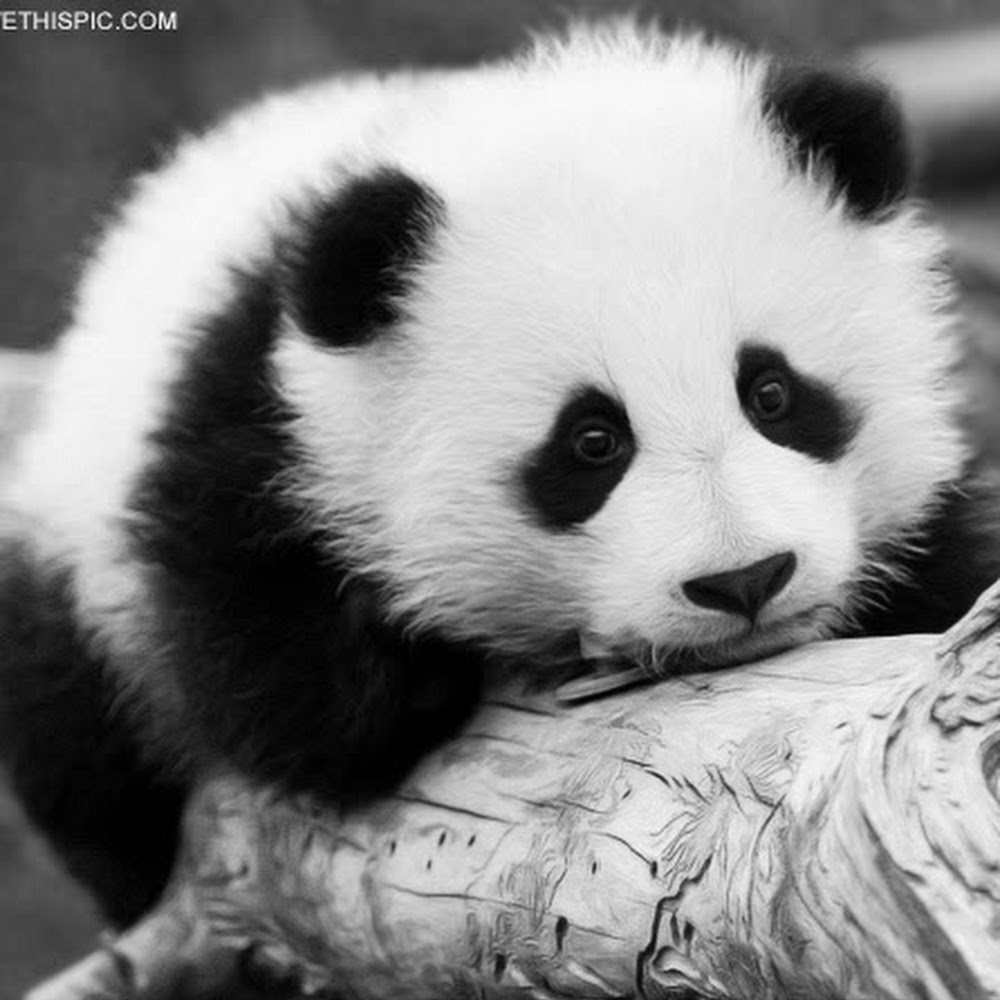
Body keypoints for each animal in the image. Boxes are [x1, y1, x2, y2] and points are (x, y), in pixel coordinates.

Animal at [2, 21, 998, 930]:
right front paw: (416, 662)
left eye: (774, 393)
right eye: (591, 442)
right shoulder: (250, 416)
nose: (745, 580)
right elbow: (273, 681)